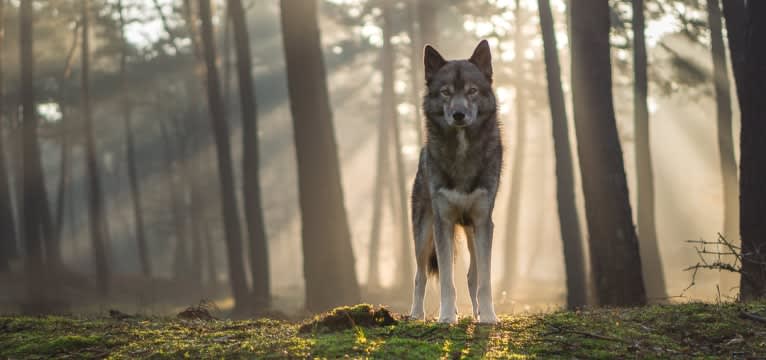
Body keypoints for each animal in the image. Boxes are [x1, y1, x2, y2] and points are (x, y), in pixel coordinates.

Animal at [408, 40, 504, 324]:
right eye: (446, 93)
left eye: (472, 91)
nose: (459, 114)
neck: (462, 153)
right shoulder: (444, 223)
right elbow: (447, 281)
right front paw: (447, 317)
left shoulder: (484, 222)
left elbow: (485, 281)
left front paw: (488, 317)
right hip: (423, 233)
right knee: (419, 275)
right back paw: (415, 315)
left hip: (471, 231)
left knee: (473, 276)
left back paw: (476, 313)